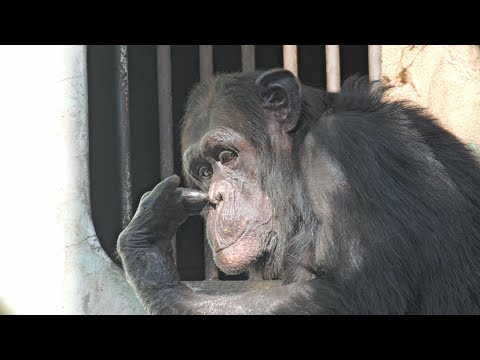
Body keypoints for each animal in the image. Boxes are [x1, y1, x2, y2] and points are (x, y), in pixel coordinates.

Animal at [115, 68, 480, 316]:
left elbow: (356, 293)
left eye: (227, 156)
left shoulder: (345, 152)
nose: (217, 198)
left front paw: (152, 265)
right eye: (205, 172)